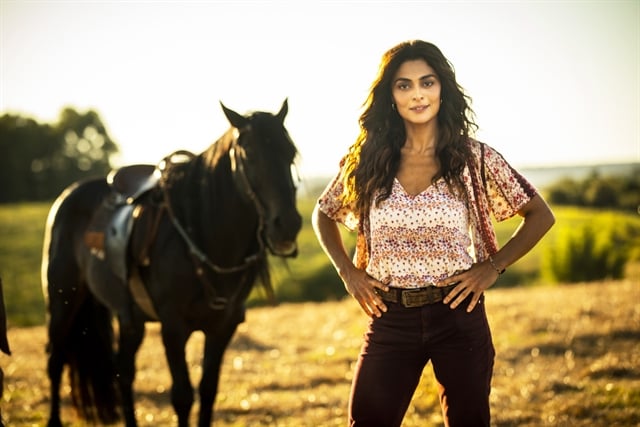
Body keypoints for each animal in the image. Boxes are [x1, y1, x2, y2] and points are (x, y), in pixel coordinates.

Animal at [42, 101, 302, 427]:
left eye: (290, 153)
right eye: (249, 154)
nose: (287, 225)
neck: (203, 234)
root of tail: (69, 195)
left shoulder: (223, 327)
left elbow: (208, 391)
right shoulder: (173, 327)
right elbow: (182, 396)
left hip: (130, 318)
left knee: (123, 372)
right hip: (63, 301)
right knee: (56, 360)